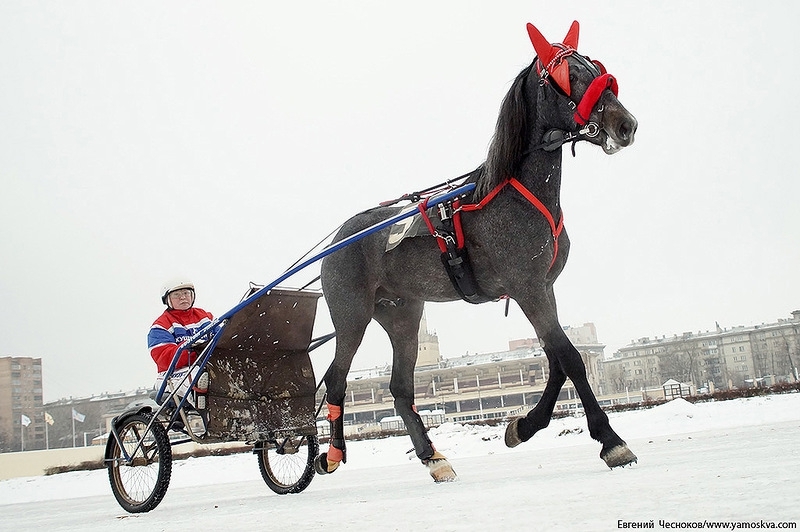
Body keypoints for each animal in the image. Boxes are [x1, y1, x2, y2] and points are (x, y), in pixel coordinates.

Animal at [318, 22, 636, 482]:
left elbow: (556, 360)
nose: (625, 123)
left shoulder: (543, 287)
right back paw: (333, 452)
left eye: (595, 67)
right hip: (352, 314)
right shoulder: (528, 288)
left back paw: (433, 456)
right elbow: (571, 359)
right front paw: (610, 440)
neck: (515, 193)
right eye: (569, 75)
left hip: (402, 314)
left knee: (400, 389)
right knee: (337, 379)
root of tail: (337, 239)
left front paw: (523, 425)